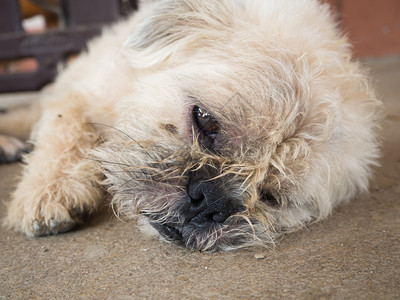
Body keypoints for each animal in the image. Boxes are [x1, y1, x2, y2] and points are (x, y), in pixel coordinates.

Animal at [3, 0, 384, 251]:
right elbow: (65, 129)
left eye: (270, 196)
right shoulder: (79, 92)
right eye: (205, 121)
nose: (209, 200)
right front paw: (49, 191)